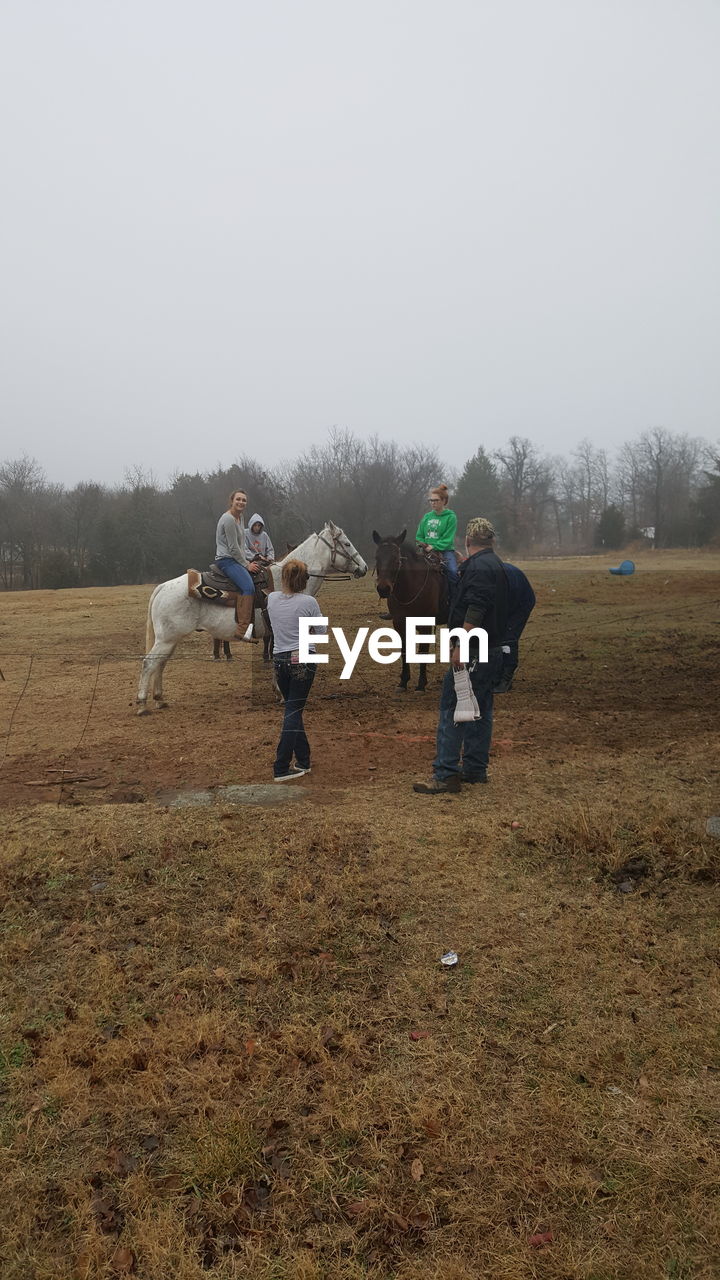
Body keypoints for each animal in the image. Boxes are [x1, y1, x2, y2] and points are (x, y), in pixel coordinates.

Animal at [137, 522, 366, 721]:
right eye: (346, 544)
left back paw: (159, 699)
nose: (363, 568)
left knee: (160, 664)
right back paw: (141, 704)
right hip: (167, 639)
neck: (286, 584)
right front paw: (282, 693)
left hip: (171, 640)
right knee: (149, 663)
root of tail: (163, 587)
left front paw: (278, 692)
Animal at [368, 527, 448, 691]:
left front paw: (421, 684)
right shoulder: (399, 623)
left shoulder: (425, 625)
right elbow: (404, 651)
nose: (383, 589)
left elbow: (423, 651)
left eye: (396, 559)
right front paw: (403, 682)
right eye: (377, 557)